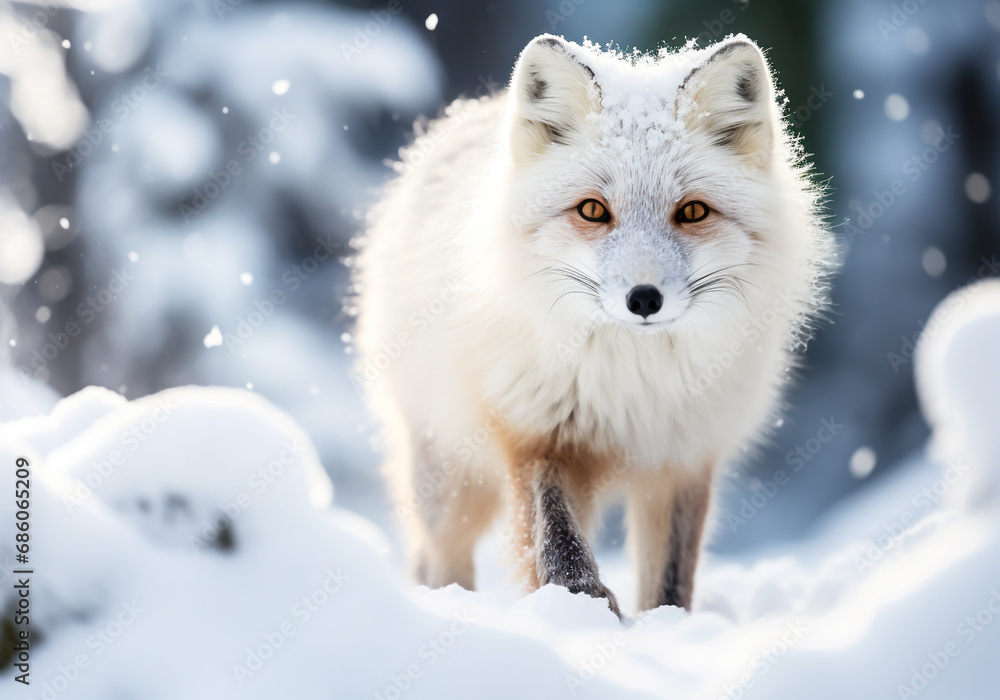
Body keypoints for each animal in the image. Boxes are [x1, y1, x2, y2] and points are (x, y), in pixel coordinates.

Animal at [353, 33, 833, 617]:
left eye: (693, 212)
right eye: (592, 210)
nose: (643, 298)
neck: (632, 383)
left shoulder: (683, 454)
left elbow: (670, 579)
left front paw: (664, 624)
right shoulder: (534, 429)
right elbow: (555, 536)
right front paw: (582, 606)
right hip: (447, 475)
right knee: (437, 559)